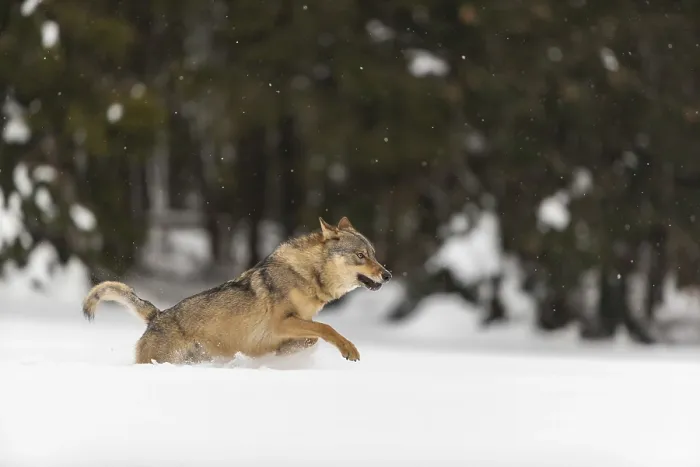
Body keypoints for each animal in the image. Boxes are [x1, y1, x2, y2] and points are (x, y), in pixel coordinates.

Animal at [82, 217, 391, 364]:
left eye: (375, 255)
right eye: (361, 256)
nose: (387, 275)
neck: (307, 275)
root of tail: (157, 315)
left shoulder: (297, 323)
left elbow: (313, 337)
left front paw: (284, 353)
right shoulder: (281, 323)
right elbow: (326, 329)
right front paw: (349, 349)